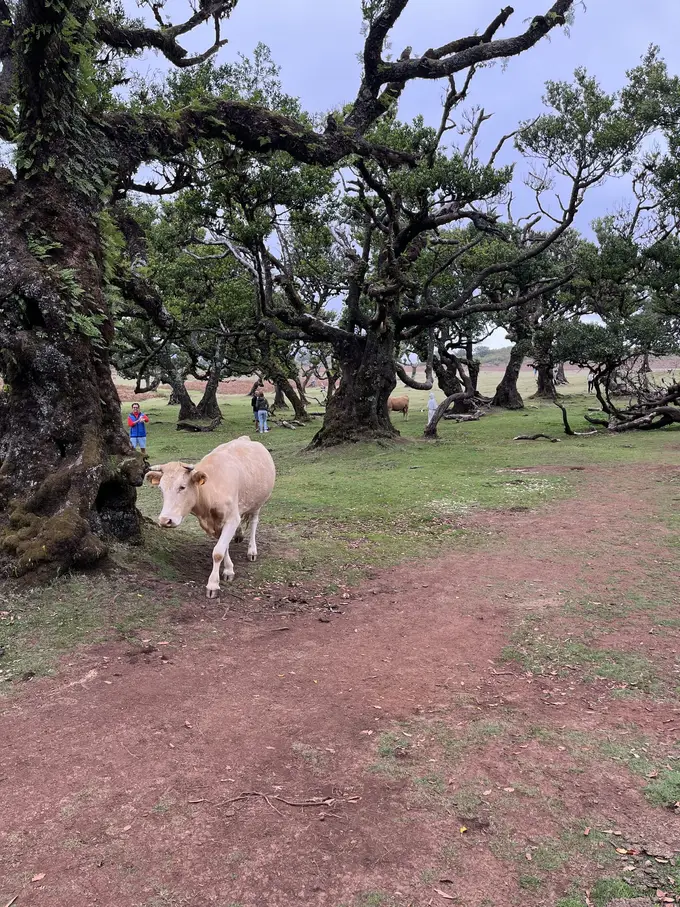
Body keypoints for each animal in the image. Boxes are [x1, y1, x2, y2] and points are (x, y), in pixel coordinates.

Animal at [145, 436, 276, 598]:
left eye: (182, 487)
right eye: (161, 488)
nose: (165, 520)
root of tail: (245, 438)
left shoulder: (231, 519)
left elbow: (218, 552)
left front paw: (213, 584)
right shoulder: (217, 522)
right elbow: (224, 546)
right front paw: (228, 570)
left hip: (259, 501)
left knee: (254, 522)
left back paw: (252, 550)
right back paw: (239, 535)